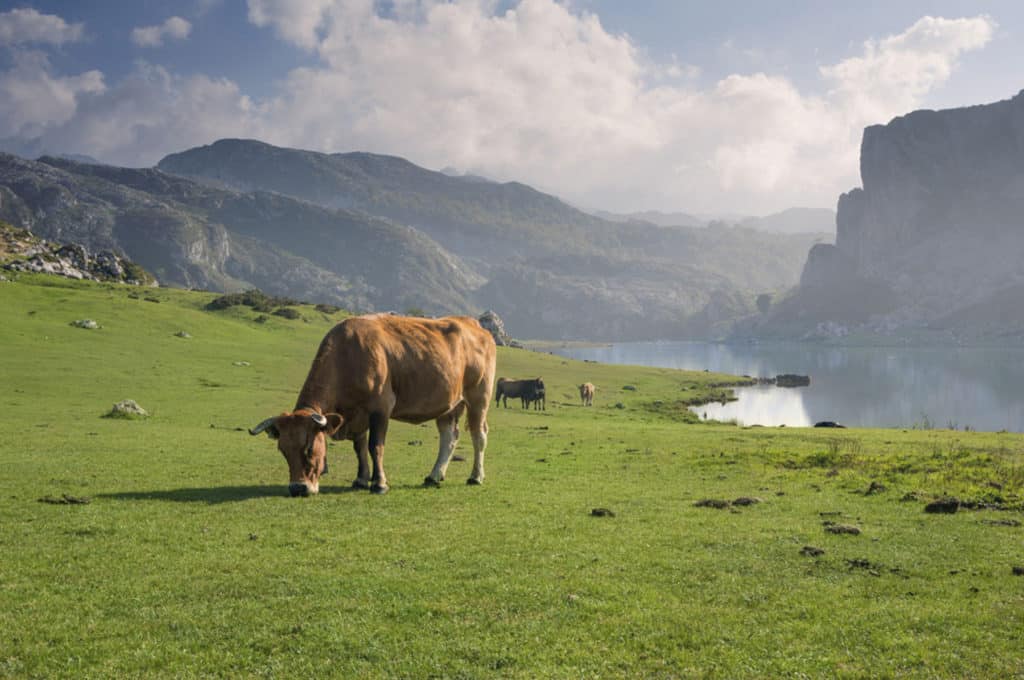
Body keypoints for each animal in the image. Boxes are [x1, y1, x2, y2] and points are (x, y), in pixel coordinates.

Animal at [247, 311, 495, 493]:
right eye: (283, 450)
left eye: (309, 448)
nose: (298, 488)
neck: (348, 356)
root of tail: (475, 326)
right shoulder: (355, 414)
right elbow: (359, 447)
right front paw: (360, 479)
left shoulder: (381, 408)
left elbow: (375, 446)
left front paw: (379, 483)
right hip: (448, 404)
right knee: (449, 437)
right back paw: (434, 475)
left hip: (478, 398)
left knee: (479, 435)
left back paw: (476, 476)